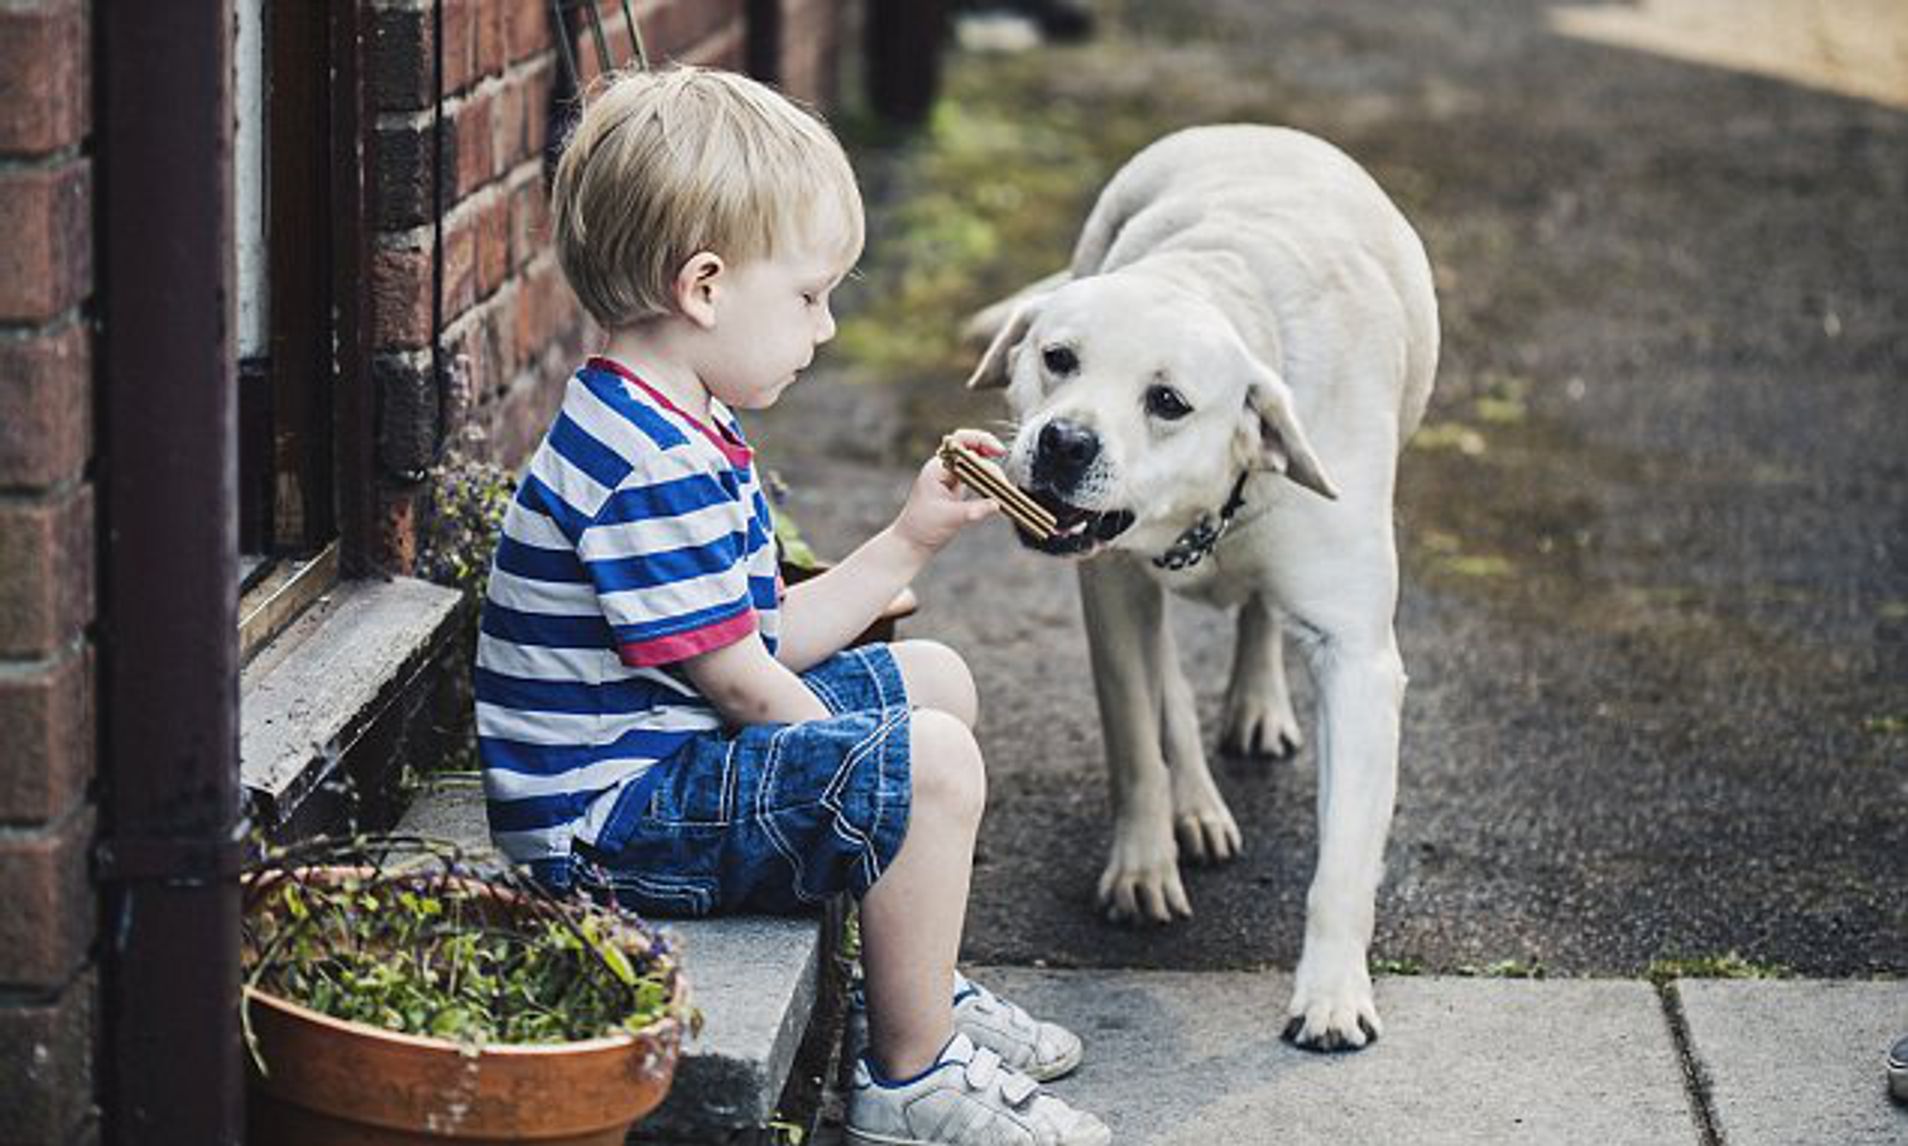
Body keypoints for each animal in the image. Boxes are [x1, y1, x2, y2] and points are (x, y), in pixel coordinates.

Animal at [969, 124, 1434, 1044]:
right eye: (1057, 358)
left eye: (1168, 401)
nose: (1064, 442)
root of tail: (1255, 129)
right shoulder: (1110, 595)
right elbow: (1134, 740)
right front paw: (1144, 863)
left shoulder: (1359, 661)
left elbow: (1345, 858)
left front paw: (1333, 992)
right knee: (1169, 688)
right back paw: (1194, 803)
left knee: (1257, 620)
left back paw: (1255, 705)